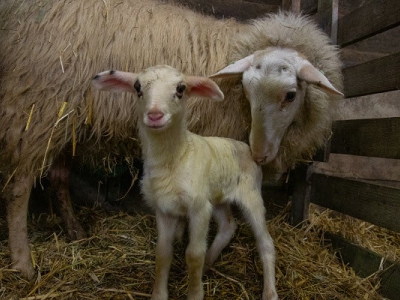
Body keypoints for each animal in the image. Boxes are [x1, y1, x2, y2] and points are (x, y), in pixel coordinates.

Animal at [92, 65, 276, 300]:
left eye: (181, 89)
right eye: (137, 87)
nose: (154, 115)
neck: (175, 159)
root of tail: (247, 149)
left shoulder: (199, 208)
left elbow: (194, 254)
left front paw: (195, 292)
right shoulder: (164, 210)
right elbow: (162, 253)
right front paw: (159, 294)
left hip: (251, 194)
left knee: (265, 242)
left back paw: (270, 292)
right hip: (217, 197)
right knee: (228, 226)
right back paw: (208, 264)